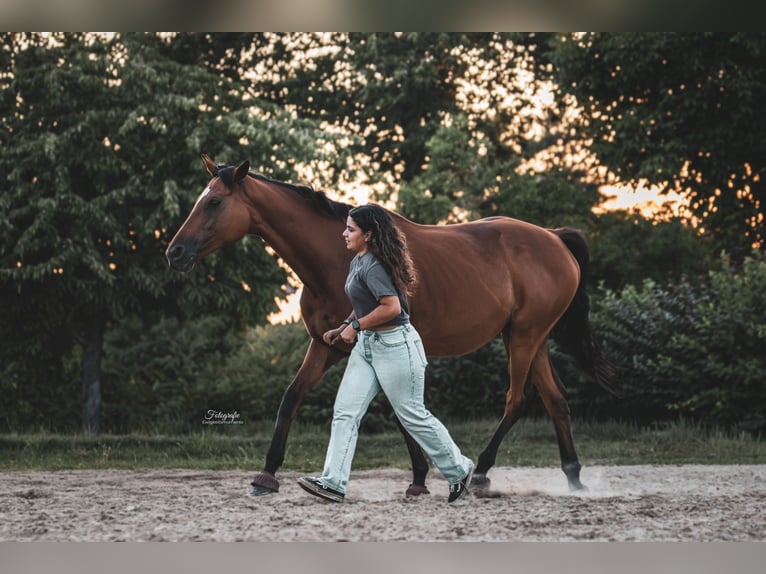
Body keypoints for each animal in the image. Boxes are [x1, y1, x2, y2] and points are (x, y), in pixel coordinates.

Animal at [166, 154, 615, 496]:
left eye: (213, 203)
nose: (175, 252)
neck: (336, 258)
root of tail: (555, 238)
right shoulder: (327, 344)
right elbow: (293, 397)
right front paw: (267, 474)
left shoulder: (367, 342)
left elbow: (399, 410)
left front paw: (419, 478)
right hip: (530, 338)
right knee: (556, 400)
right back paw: (573, 478)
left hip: (523, 338)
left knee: (517, 400)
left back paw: (483, 474)